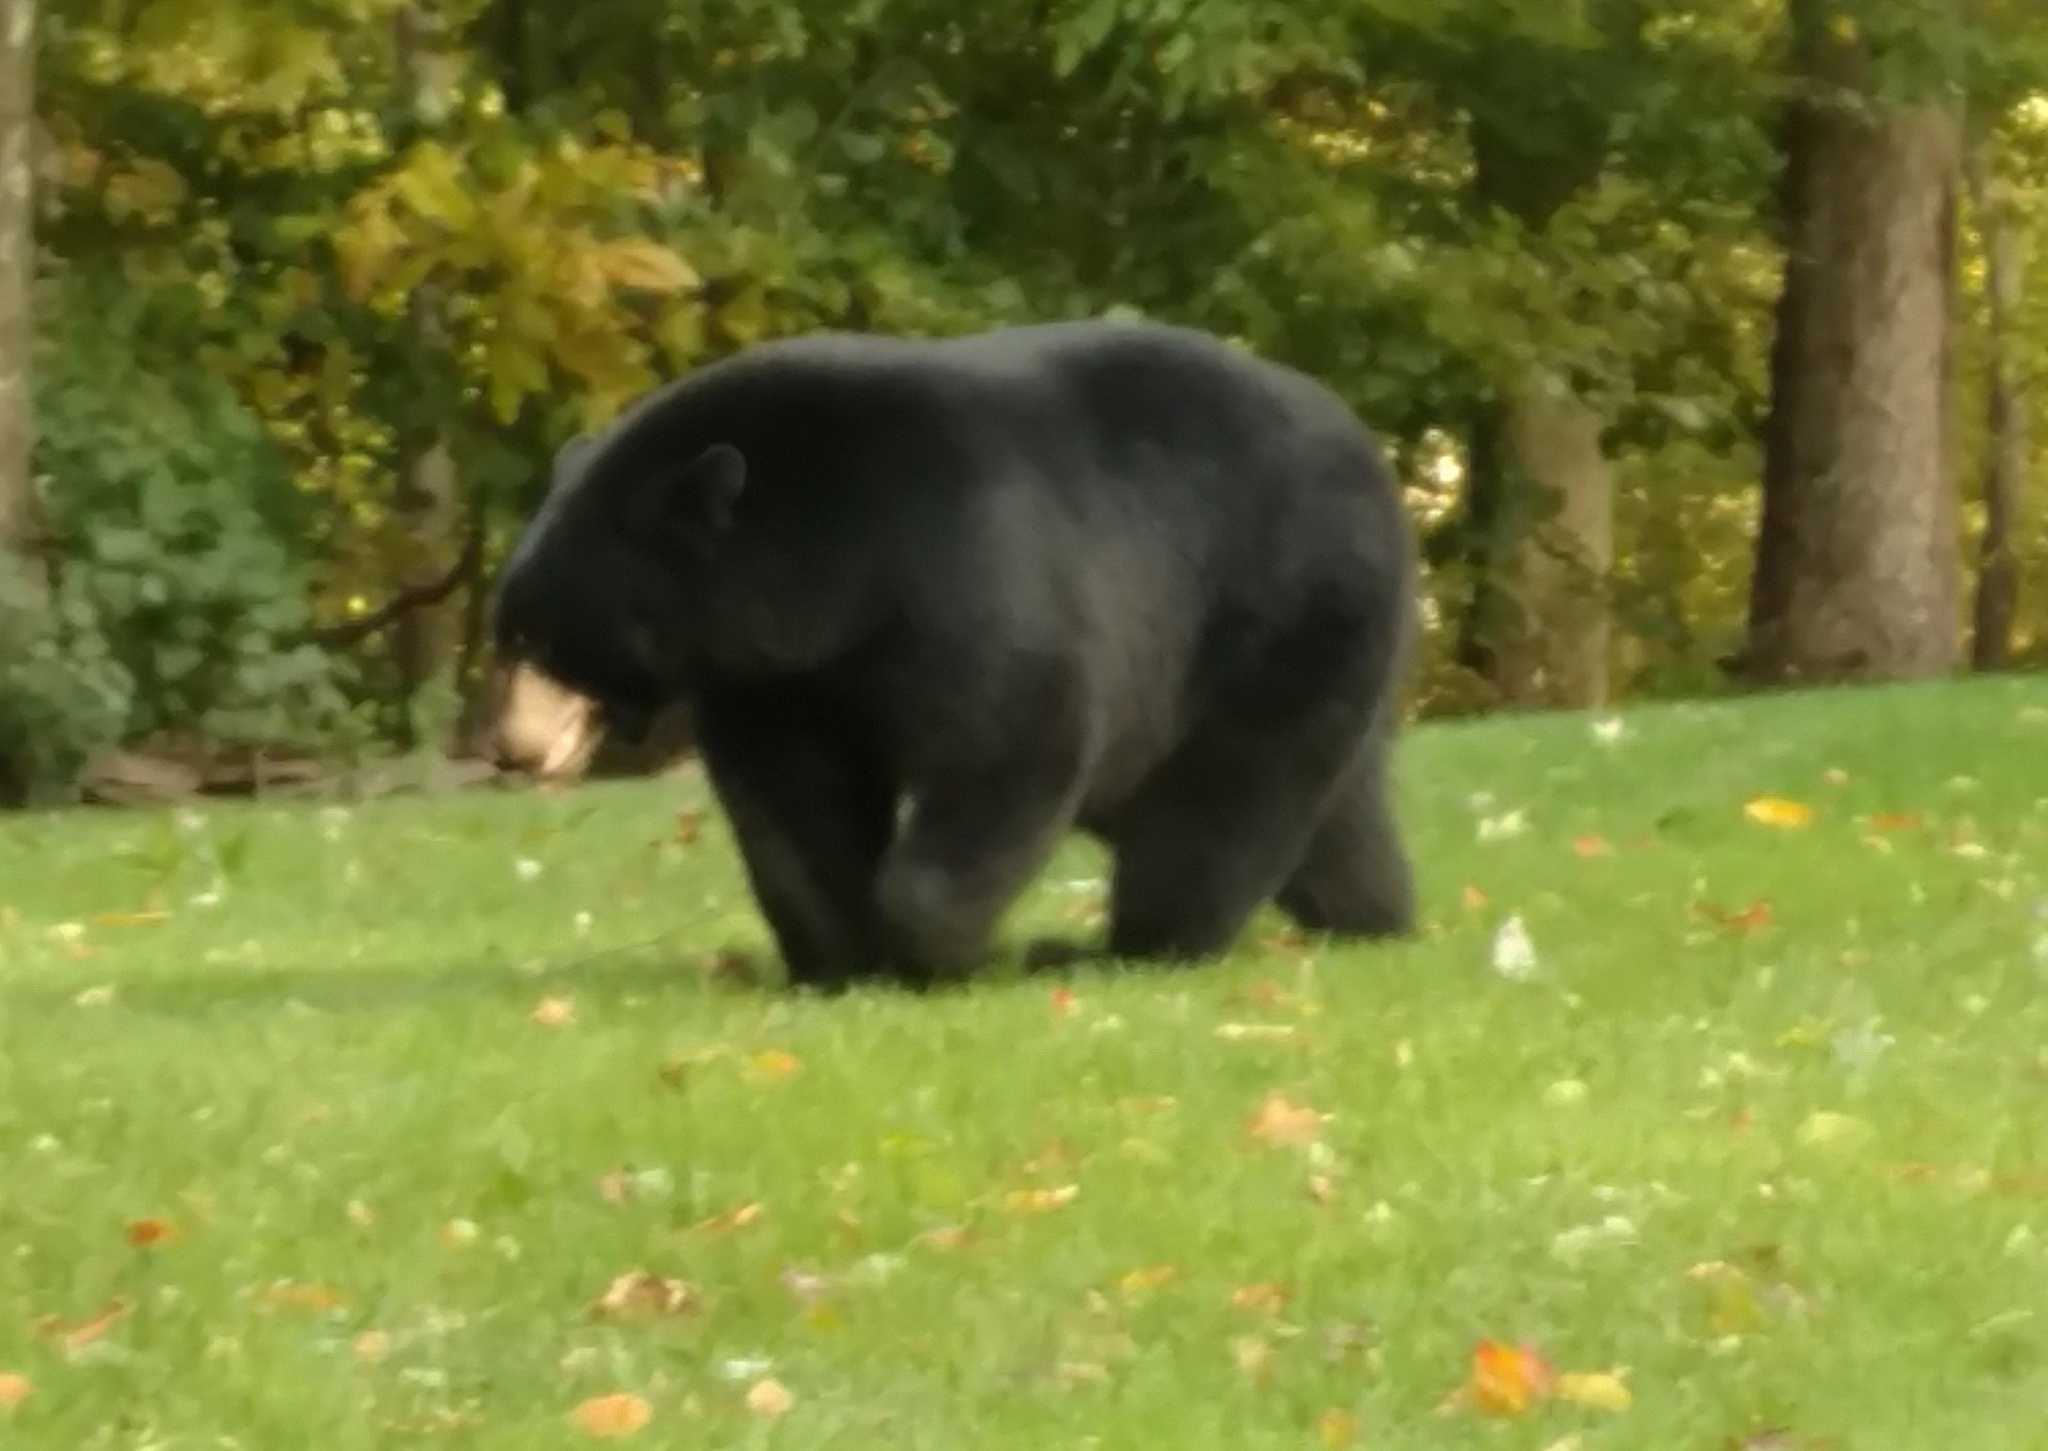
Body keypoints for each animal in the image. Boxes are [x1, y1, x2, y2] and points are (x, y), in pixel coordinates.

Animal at [492, 318, 1418, 990]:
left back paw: (1128, 947)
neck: (833, 563)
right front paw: (838, 958)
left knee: (1219, 798)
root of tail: (1372, 454)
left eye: (540, 636)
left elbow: (1012, 738)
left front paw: (931, 947)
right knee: (1330, 807)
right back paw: (1371, 914)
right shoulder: (780, 679)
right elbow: (793, 800)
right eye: (508, 633)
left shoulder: (962, 561)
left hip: (1279, 610)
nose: (507, 747)